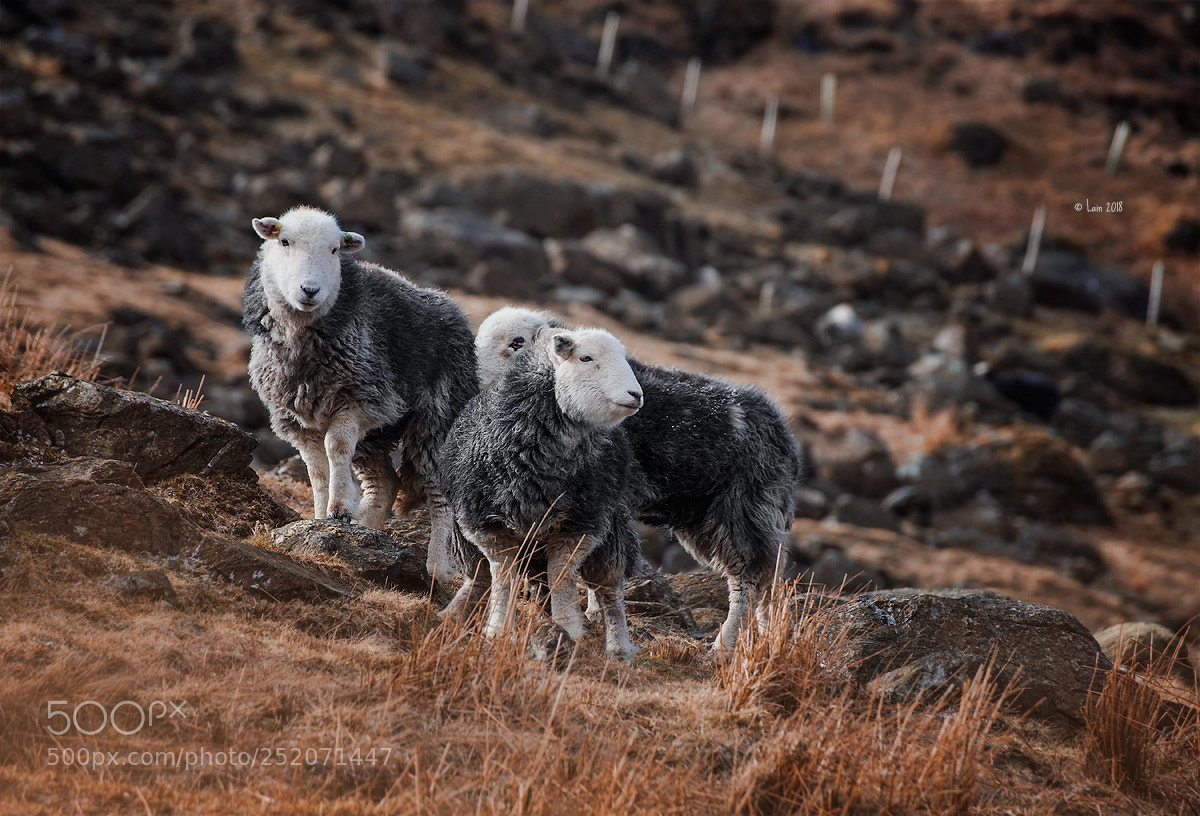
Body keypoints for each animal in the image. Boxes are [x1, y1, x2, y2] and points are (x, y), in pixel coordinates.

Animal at [242, 206, 477, 568]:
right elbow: (316, 469)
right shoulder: (295, 418)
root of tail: (454, 309)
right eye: (284, 242)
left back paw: (439, 565)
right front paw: (321, 514)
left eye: (334, 249)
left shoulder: (363, 399)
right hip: (377, 435)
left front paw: (339, 509)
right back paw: (369, 529)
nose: (309, 290)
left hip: (438, 416)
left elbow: (336, 447)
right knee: (385, 481)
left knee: (439, 491)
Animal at [440, 325, 644, 659]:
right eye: (586, 358)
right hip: (465, 534)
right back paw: (457, 612)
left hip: (611, 527)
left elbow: (561, 575)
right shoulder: (485, 525)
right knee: (480, 576)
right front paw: (498, 629)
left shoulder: (581, 526)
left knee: (609, 586)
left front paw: (568, 629)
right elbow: (504, 576)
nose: (636, 395)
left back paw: (619, 648)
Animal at [475, 306, 805, 654]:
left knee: (747, 581)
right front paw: (593, 613)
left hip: (744, 510)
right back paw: (764, 636)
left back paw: (723, 645)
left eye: (517, 341)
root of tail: (782, 431)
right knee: (766, 582)